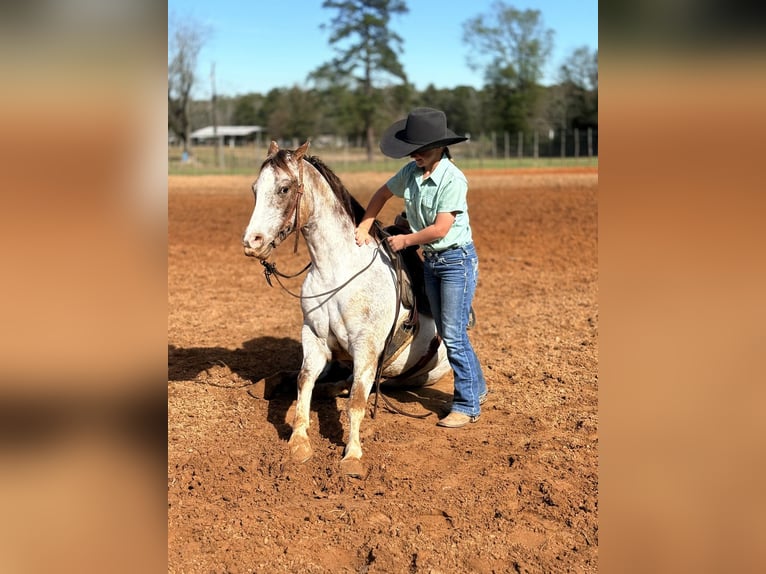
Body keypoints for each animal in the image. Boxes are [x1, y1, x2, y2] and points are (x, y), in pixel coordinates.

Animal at [242, 140, 451, 477]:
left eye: (284, 188)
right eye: (254, 189)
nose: (252, 242)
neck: (337, 270)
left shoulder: (365, 347)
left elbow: (356, 400)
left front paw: (352, 455)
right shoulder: (313, 336)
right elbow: (304, 380)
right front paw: (299, 441)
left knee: (352, 385)